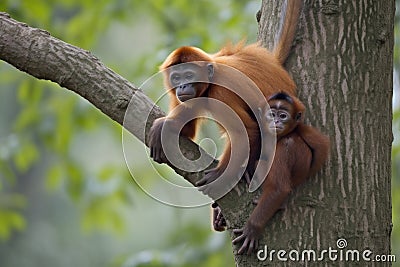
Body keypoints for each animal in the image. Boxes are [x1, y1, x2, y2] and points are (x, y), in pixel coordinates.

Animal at [150, 0, 304, 188]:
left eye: (189, 76)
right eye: (176, 78)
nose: (183, 86)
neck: (212, 77)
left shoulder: (221, 93)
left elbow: (245, 131)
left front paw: (221, 173)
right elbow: (186, 131)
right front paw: (165, 124)